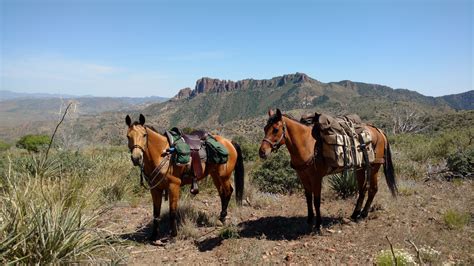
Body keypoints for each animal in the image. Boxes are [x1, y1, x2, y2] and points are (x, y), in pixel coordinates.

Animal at [260, 109, 396, 232]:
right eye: (265, 128)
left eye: (275, 129)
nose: (262, 152)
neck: (307, 145)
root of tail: (378, 131)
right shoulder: (303, 177)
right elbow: (308, 198)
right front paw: (309, 220)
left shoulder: (316, 178)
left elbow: (316, 200)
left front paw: (318, 225)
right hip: (361, 168)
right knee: (363, 190)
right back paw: (355, 214)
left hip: (374, 167)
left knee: (373, 189)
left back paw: (363, 215)